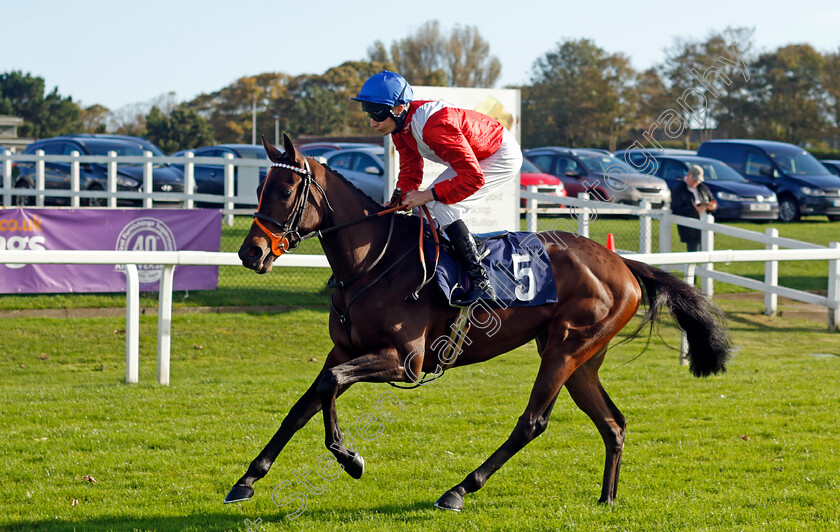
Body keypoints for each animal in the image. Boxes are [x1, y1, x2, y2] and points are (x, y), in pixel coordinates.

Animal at [226, 135, 732, 512]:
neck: (374, 263)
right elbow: (306, 402)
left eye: (285, 192)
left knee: (532, 422)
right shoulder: (346, 349)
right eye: (259, 190)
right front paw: (248, 479)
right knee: (613, 423)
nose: (250, 252)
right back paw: (606, 499)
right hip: (582, 360)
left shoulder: (405, 361)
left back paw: (458, 489)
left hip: (564, 350)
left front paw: (350, 458)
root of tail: (623, 262)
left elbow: (330, 384)